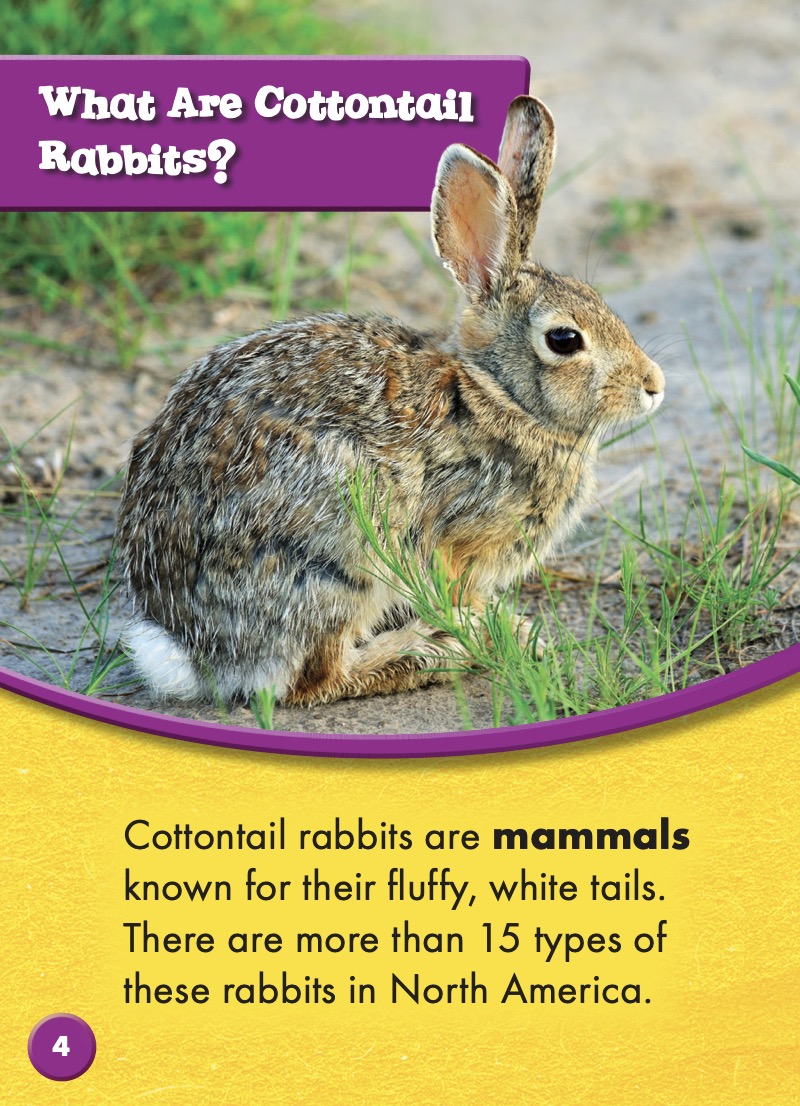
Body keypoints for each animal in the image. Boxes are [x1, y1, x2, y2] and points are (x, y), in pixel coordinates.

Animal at [114, 95, 665, 708]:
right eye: (565, 339)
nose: (654, 385)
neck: (493, 395)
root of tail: (189, 648)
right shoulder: (454, 544)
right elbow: (458, 592)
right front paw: (500, 633)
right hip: (339, 557)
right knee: (316, 677)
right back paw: (431, 652)